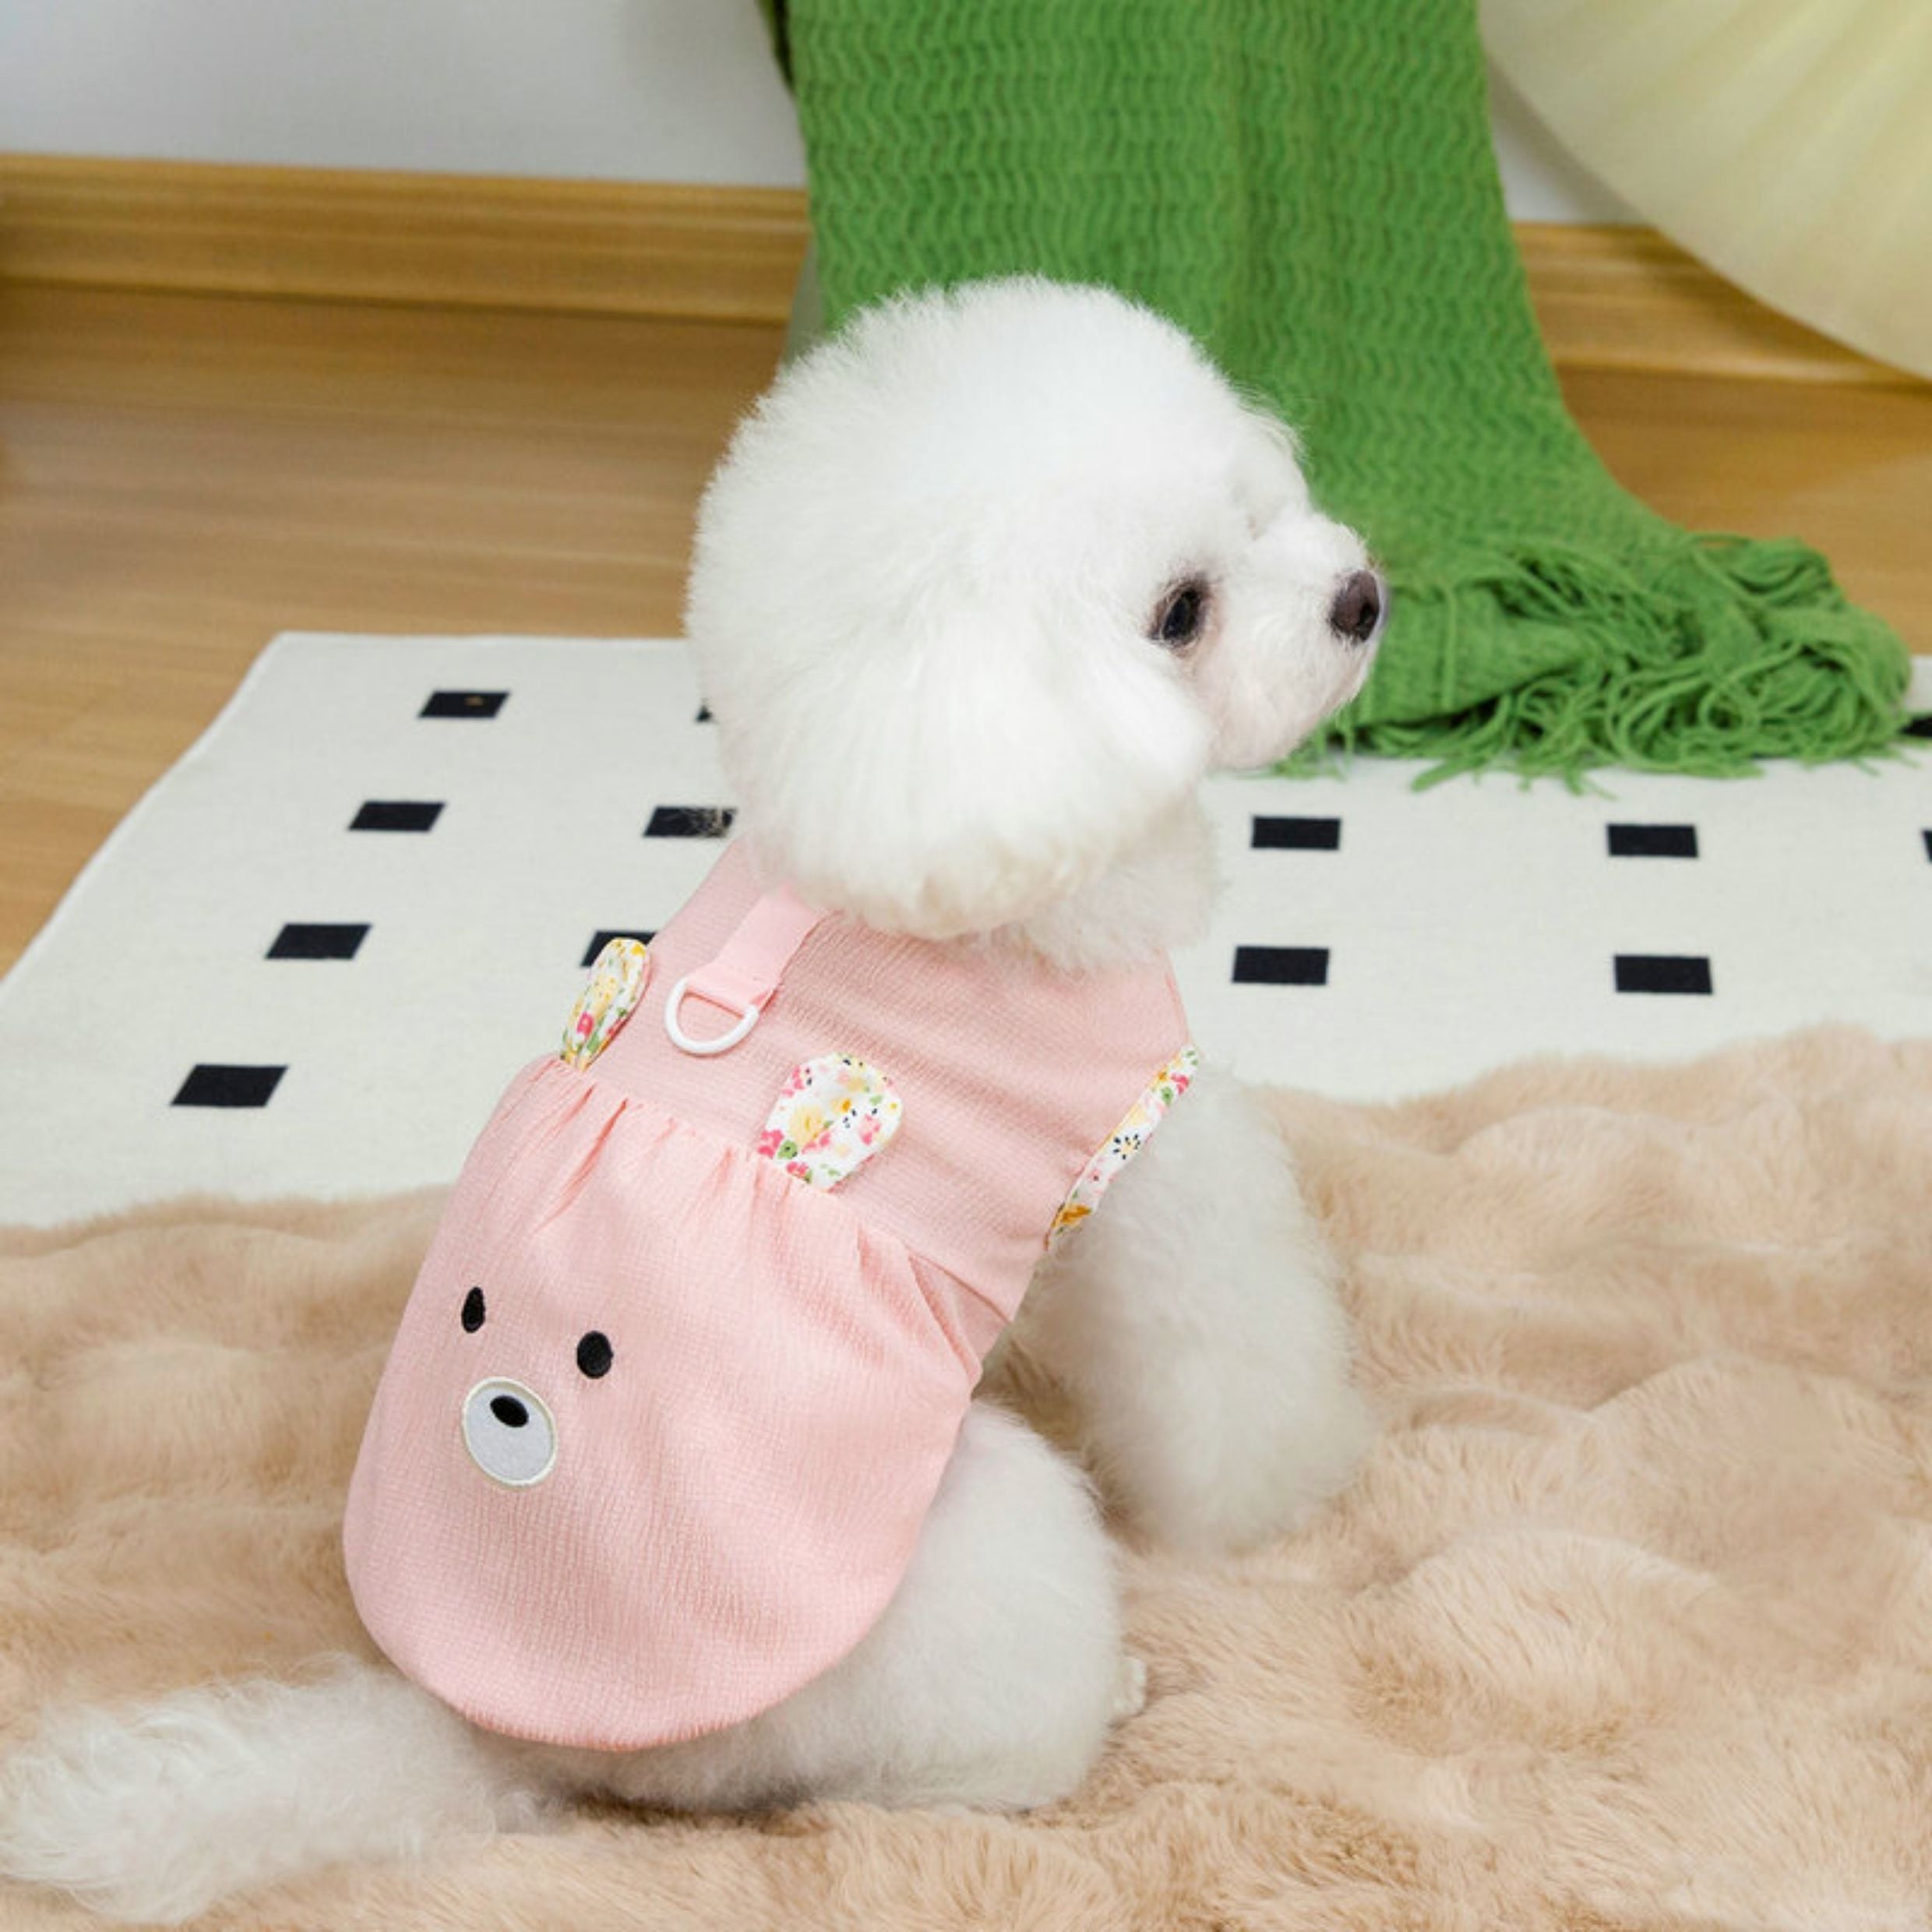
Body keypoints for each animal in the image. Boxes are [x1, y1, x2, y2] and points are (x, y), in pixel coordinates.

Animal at [0, 277, 1380, 1924]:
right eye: (1181, 612)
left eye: (1256, 509)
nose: (1364, 598)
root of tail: (504, 1727)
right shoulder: (1142, 1148)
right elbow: (1229, 1366)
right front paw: (1284, 1507)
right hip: (974, 1551)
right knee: (959, 1762)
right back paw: (1097, 1702)